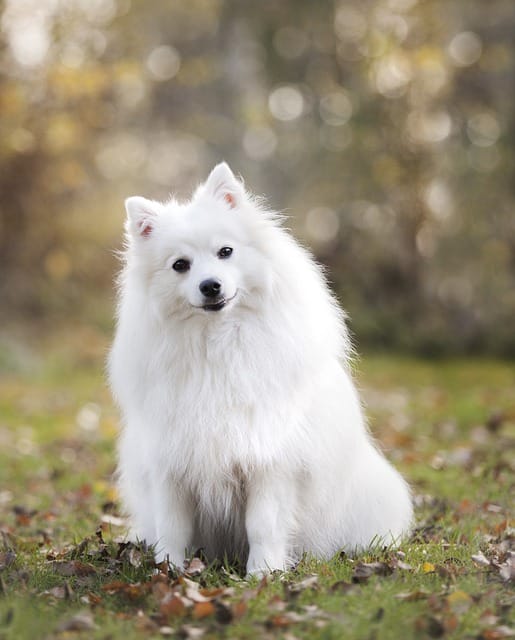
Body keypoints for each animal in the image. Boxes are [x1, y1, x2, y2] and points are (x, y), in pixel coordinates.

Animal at [110, 164, 416, 576]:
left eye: (225, 252)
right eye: (180, 265)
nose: (210, 286)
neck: (218, 344)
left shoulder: (270, 462)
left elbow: (263, 524)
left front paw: (262, 573)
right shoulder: (172, 462)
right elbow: (172, 526)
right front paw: (169, 570)